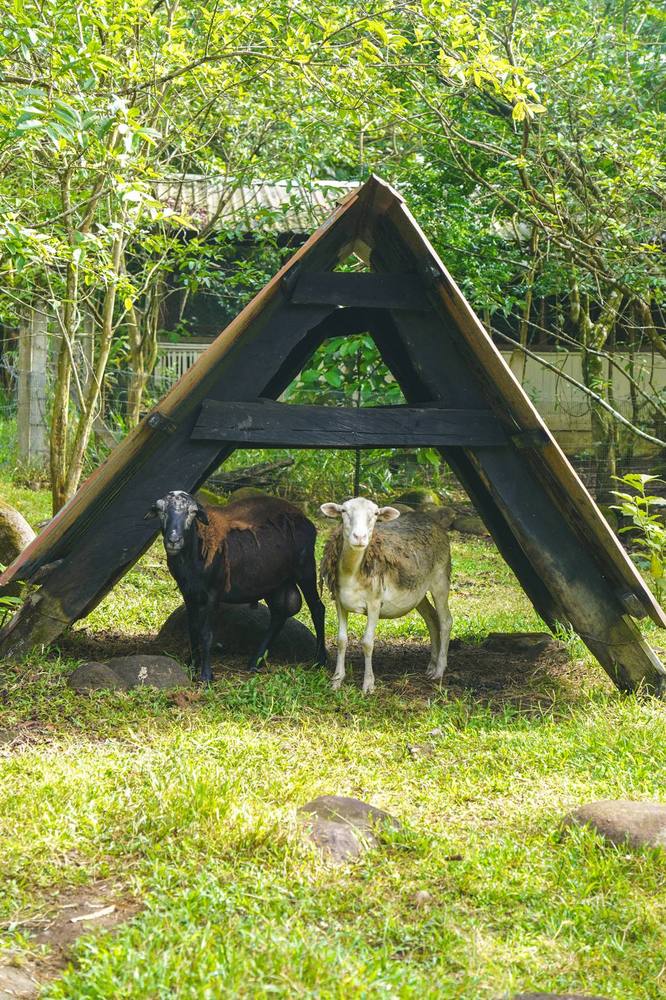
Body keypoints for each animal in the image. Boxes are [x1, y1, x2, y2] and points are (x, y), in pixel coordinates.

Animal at [146, 491, 326, 682]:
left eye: (192, 512)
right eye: (160, 510)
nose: (174, 540)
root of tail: (303, 517)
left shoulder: (214, 592)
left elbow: (206, 634)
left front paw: (206, 675)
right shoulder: (188, 592)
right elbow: (193, 629)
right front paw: (192, 665)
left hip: (305, 568)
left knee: (317, 609)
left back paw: (320, 660)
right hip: (275, 582)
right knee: (279, 614)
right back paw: (255, 661)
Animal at [320, 497, 453, 694]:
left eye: (376, 514)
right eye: (343, 511)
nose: (359, 537)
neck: (353, 573)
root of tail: (431, 520)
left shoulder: (375, 602)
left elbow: (367, 643)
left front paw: (368, 685)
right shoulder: (340, 602)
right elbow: (341, 640)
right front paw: (336, 680)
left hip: (441, 579)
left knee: (446, 621)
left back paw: (439, 670)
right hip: (418, 592)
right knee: (432, 619)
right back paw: (431, 666)